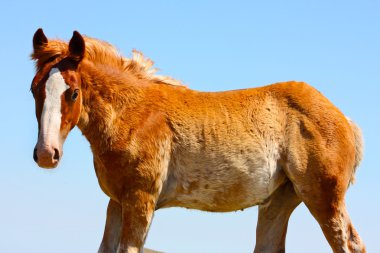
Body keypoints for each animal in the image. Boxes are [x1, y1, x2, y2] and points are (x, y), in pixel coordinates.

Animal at [31, 28, 366, 253]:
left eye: (73, 92)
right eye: (34, 88)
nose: (47, 154)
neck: (132, 113)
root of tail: (344, 119)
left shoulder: (141, 199)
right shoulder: (117, 201)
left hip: (323, 198)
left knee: (349, 244)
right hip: (279, 201)